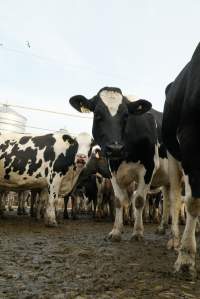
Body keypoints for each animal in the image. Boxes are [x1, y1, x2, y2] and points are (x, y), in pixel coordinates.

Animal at [69, 87, 170, 244]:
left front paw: (137, 232)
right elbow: (118, 201)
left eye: (126, 115)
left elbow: (139, 201)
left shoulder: (148, 170)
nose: (115, 148)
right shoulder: (113, 172)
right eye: (97, 114)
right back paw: (162, 227)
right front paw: (116, 231)